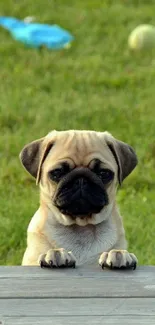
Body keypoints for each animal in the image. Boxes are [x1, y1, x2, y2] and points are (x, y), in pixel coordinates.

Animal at [19, 129, 138, 268]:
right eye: (57, 172)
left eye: (103, 173)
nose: (81, 179)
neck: (81, 226)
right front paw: (56, 253)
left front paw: (118, 254)